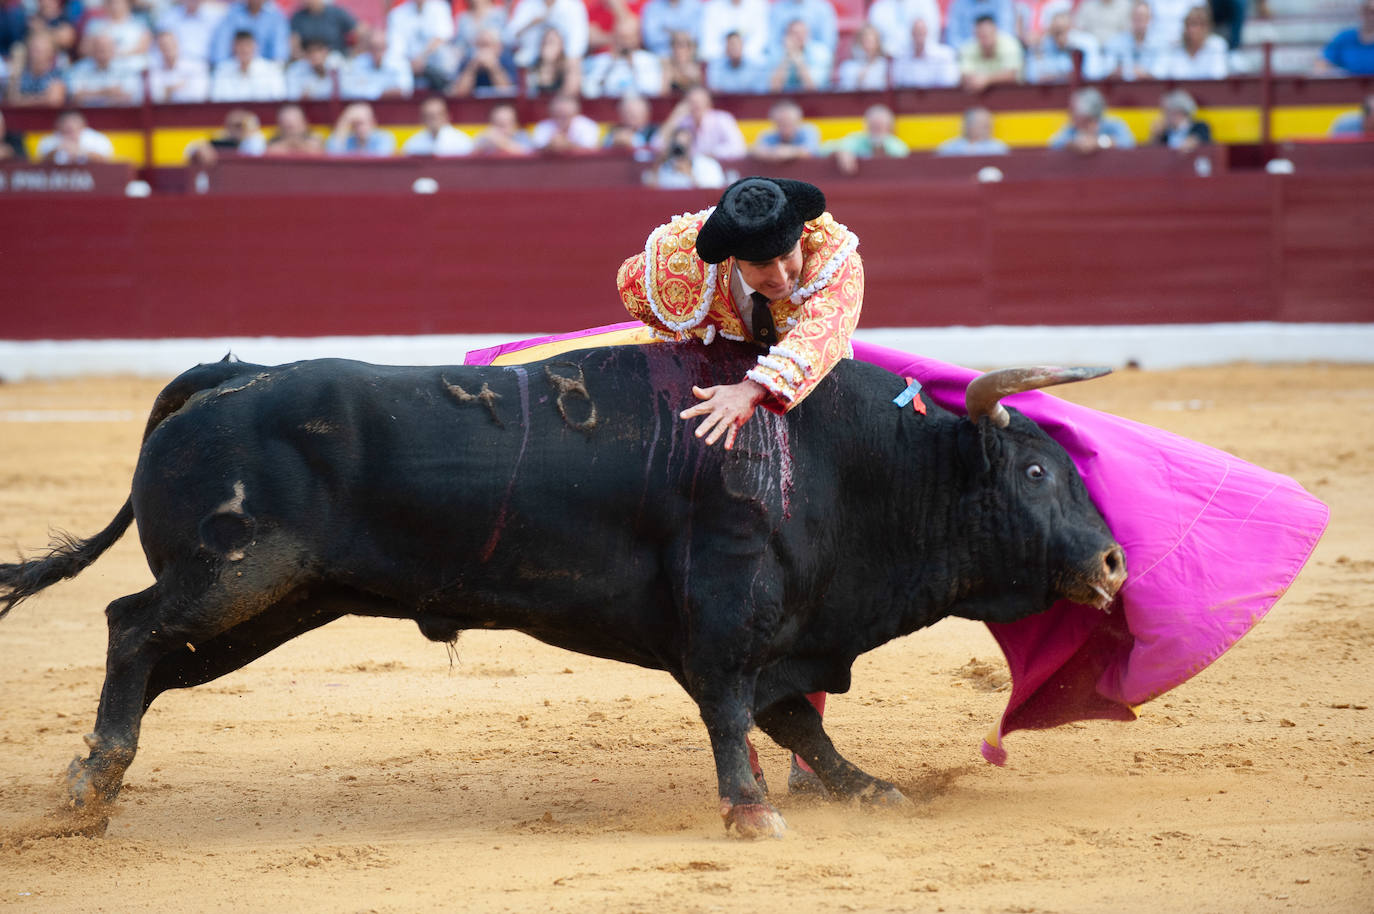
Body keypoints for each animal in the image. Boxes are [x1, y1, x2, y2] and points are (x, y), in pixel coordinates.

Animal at [0, 340, 1126, 835]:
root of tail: (228, 375)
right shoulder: (728, 619)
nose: (1114, 564)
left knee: (153, 655)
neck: (846, 459)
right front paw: (751, 813)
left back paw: (94, 787)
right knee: (130, 627)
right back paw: (93, 781)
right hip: (237, 576)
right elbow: (738, 715)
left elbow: (801, 721)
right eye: (1036, 471)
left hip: (280, 601)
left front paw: (870, 789)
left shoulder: (784, 632)